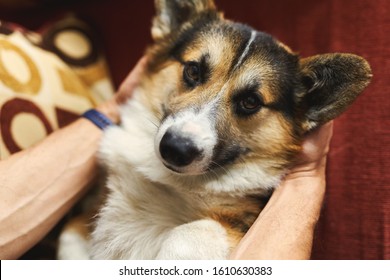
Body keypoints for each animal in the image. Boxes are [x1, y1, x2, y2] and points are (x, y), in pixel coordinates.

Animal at [57, 0, 372, 260]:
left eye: (250, 101)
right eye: (193, 71)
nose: (176, 149)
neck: (172, 182)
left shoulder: (239, 223)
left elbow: (189, 234)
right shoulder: (81, 225)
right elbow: (70, 236)